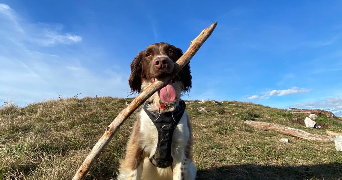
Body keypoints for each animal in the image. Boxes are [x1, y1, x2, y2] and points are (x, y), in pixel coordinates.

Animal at [117, 42, 195, 180]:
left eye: (171, 51)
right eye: (148, 54)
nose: (161, 61)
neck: (163, 111)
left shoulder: (181, 151)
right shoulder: (136, 148)